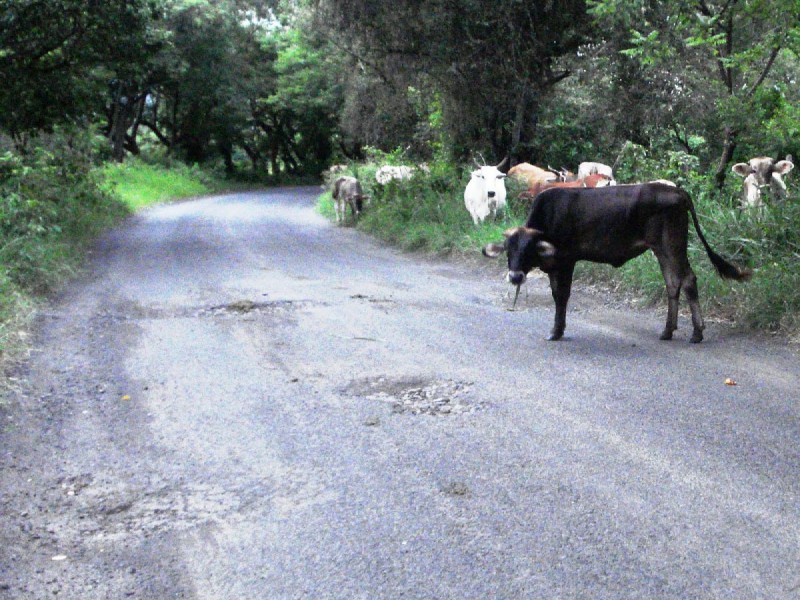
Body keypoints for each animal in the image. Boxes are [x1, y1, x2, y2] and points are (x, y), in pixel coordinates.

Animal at [482, 183, 752, 342]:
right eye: (508, 250)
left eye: (528, 249)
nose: (515, 276)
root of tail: (678, 192)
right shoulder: (554, 266)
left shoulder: (566, 261)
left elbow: (561, 296)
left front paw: (556, 332)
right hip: (661, 250)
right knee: (672, 283)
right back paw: (667, 330)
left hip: (672, 246)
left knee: (687, 280)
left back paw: (696, 332)